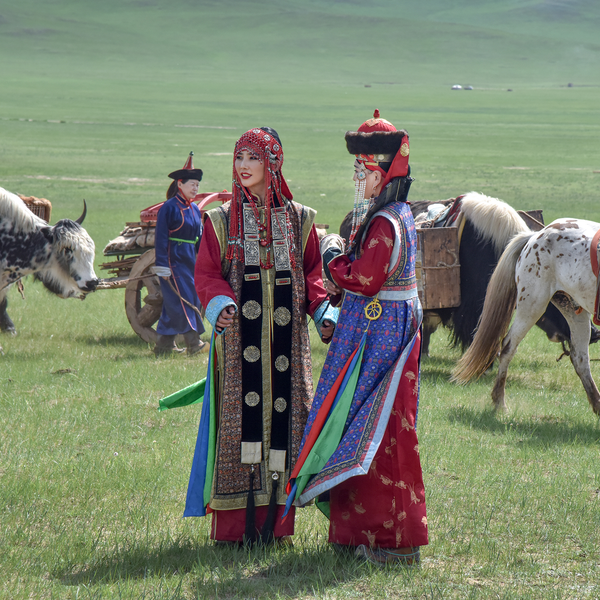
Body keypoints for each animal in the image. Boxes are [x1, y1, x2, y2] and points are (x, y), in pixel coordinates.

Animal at [452, 218, 600, 414]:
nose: (597, 334)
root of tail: (535, 236)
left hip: (574, 312)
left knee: (580, 358)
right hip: (532, 306)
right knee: (508, 347)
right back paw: (499, 401)